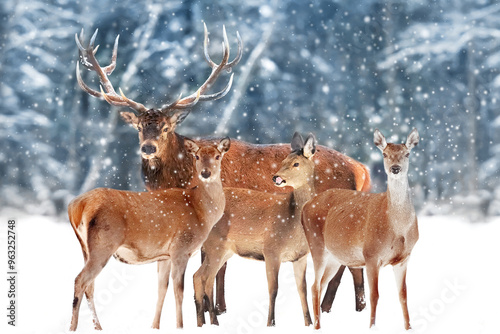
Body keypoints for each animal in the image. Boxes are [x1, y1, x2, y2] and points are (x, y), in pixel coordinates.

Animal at [69, 137, 232, 330]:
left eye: (217, 156)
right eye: (197, 156)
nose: (206, 173)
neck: (200, 211)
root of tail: (77, 206)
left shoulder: (164, 255)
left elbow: (162, 289)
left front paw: (155, 326)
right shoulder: (181, 248)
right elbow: (179, 291)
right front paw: (180, 326)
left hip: (85, 248)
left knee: (90, 286)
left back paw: (98, 327)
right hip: (103, 244)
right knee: (80, 280)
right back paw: (73, 327)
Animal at [193, 132, 318, 328]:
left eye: (296, 163)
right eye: (283, 160)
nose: (276, 178)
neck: (293, 223)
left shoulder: (300, 256)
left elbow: (302, 289)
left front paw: (309, 323)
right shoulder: (271, 249)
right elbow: (273, 289)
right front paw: (270, 323)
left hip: (224, 250)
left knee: (199, 277)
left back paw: (203, 322)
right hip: (215, 246)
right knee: (203, 278)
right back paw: (212, 322)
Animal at [302, 129, 420, 330]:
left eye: (407, 154)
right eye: (384, 154)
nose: (395, 168)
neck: (397, 228)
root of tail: (305, 206)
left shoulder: (404, 258)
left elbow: (403, 295)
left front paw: (409, 327)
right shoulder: (371, 254)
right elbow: (375, 295)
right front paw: (372, 327)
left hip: (335, 257)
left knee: (322, 282)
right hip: (316, 244)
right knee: (314, 285)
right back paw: (316, 326)